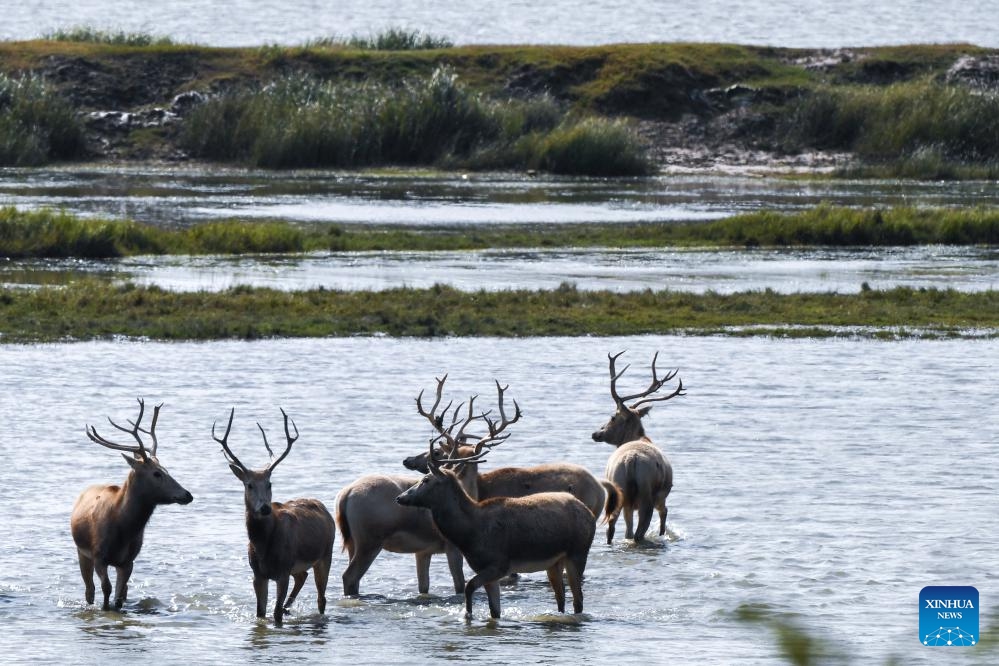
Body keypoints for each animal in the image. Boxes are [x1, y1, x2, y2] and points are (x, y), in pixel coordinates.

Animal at [71, 396, 195, 608]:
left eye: (167, 469)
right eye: (156, 473)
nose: (187, 495)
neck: (123, 530)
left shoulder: (128, 561)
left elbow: (119, 597)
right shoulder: (98, 556)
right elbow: (106, 591)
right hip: (82, 552)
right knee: (89, 591)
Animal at [211, 404, 336, 624]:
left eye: (269, 484)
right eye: (249, 485)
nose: (265, 508)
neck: (263, 547)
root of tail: (324, 508)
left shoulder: (283, 571)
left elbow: (275, 613)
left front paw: (280, 613)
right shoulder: (258, 574)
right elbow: (260, 612)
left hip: (325, 554)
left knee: (321, 598)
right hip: (301, 565)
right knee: (302, 577)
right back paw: (289, 608)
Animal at [338, 374, 524, 596]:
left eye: (436, 452)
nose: (407, 460)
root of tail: (345, 495)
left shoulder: (423, 550)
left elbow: (424, 586)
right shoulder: (451, 546)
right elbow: (459, 585)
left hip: (353, 541)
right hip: (371, 537)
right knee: (349, 576)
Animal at [592, 350, 688, 544]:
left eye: (612, 417)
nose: (596, 433)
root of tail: (631, 460)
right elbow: (664, 515)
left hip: (622, 492)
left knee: (617, 529)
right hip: (644, 495)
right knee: (636, 531)